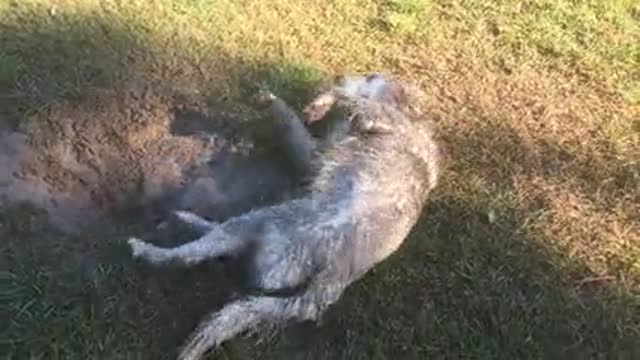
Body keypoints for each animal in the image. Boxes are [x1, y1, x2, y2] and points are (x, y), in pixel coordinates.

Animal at [129, 74, 440, 360]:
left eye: (378, 77)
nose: (372, 74)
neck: (407, 118)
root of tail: (325, 281)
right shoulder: (317, 152)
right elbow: (294, 120)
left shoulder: (374, 116)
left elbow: (343, 94)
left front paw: (311, 103)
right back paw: (184, 220)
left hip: (258, 223)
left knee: (185, 255)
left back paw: (149, 245)